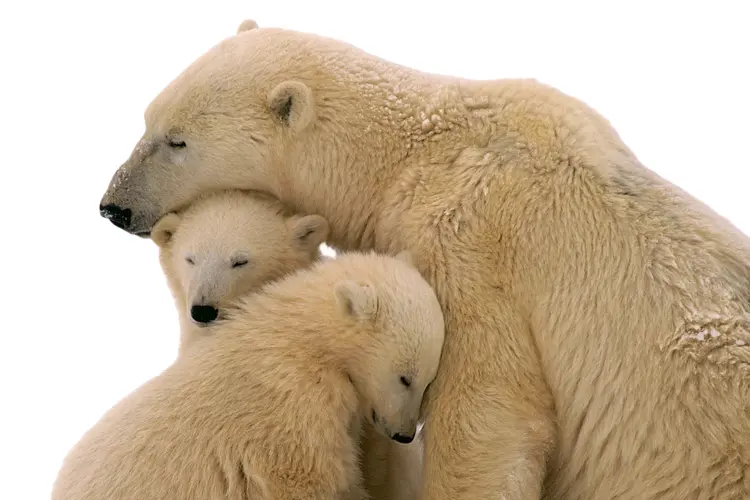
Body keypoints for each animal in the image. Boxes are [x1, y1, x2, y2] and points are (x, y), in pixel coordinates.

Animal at [51, 250, 445, 500]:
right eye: (405, 377)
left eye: (429, 380)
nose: (405, 434)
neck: (304, 340)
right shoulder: (291, 409)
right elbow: (310, 479)